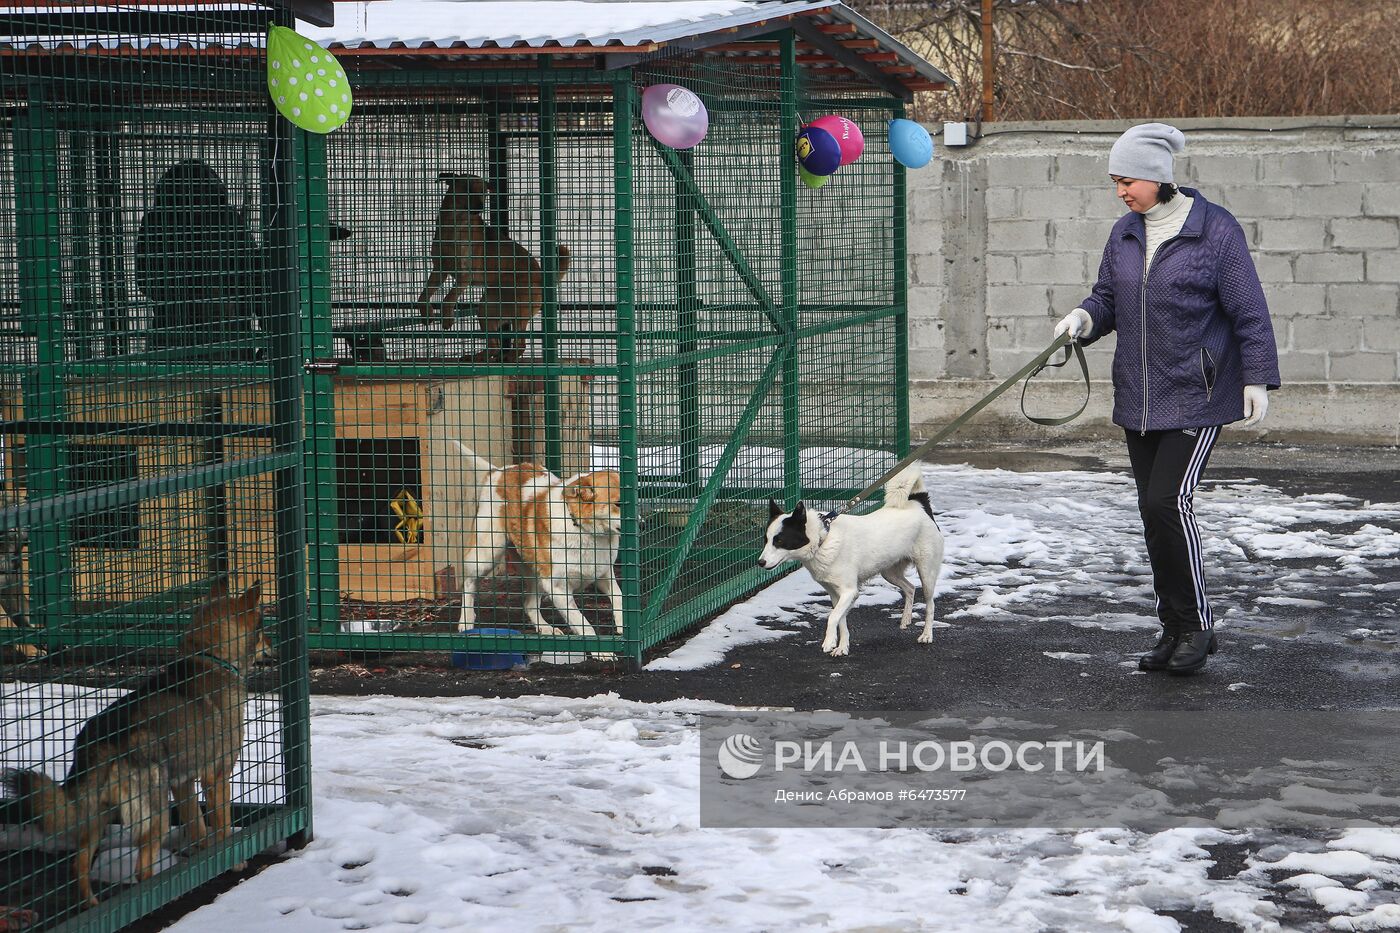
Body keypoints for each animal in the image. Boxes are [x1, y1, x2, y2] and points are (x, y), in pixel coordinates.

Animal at [4, 577, 270, 902]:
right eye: (262, 627)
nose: (272, 647)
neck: (212, 659)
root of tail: (104, 741)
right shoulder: (216, 776)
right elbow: (222, 826)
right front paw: (231, 861)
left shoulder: (182, 783)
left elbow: (197, 825)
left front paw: (204, 857)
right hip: (155, 813)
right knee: (141, 871)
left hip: (97, 816)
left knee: (79, 866)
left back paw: (93, 904)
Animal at [137, 158, 352, 354]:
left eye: (210, 175)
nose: (217, 185)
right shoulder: (151, 221)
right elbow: (150, 279)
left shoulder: (232, 220)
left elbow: (251, 269)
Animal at [414, 172, 568, 361]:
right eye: (466, 188)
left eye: (483, 192)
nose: (480, 207)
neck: (454, 223)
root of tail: (541, 276)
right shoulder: (440, 269)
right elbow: (424, 293)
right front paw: (426, 312)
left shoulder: (465, 275)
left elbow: (448, 298)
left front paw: (447, 318)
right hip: (487, 308)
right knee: (495, 345)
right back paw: (478, 358)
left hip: (513, 308)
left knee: (520, 345)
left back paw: (506, 359)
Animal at [450, 442, 621, 633]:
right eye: (618, 504)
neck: (583, 530)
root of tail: (497, 472)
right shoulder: (557, 587)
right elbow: (585, 626)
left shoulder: (604, 574)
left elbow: (619, 599)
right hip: (487, 554)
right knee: (468, 583)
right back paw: (465, 621)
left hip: (535, 572)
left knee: (529, 605)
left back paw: (546, 628)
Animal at [761, 462, 946, 652]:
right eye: (766, 540)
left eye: (780, 540)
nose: (760, 562)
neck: (823, 540)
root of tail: (919, 504)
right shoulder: (836, 594)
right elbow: (841, 620)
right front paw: (842, 647)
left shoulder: (849, 591)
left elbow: (832, 617)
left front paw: (829, 642)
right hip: (889, 572)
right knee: (910, 588)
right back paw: (906, 619)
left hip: (927, 572)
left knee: (930, 604)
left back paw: (927, 634)